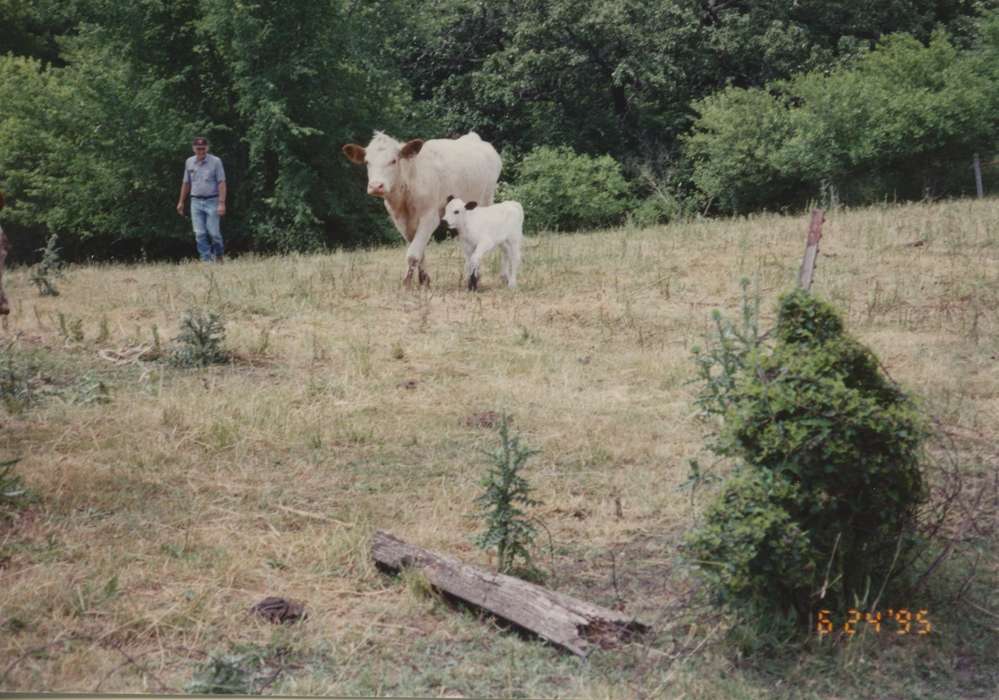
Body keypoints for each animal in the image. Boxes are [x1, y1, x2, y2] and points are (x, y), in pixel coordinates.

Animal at [342, 131, 500, 288]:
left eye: (393, 161)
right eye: (367, 162)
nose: (376, 186)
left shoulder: (430, 217)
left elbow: (413, 254)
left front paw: (407, 283)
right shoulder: (401, 221)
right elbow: (419, 250)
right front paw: (424, 280)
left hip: (486, 200)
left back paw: (476, 276)